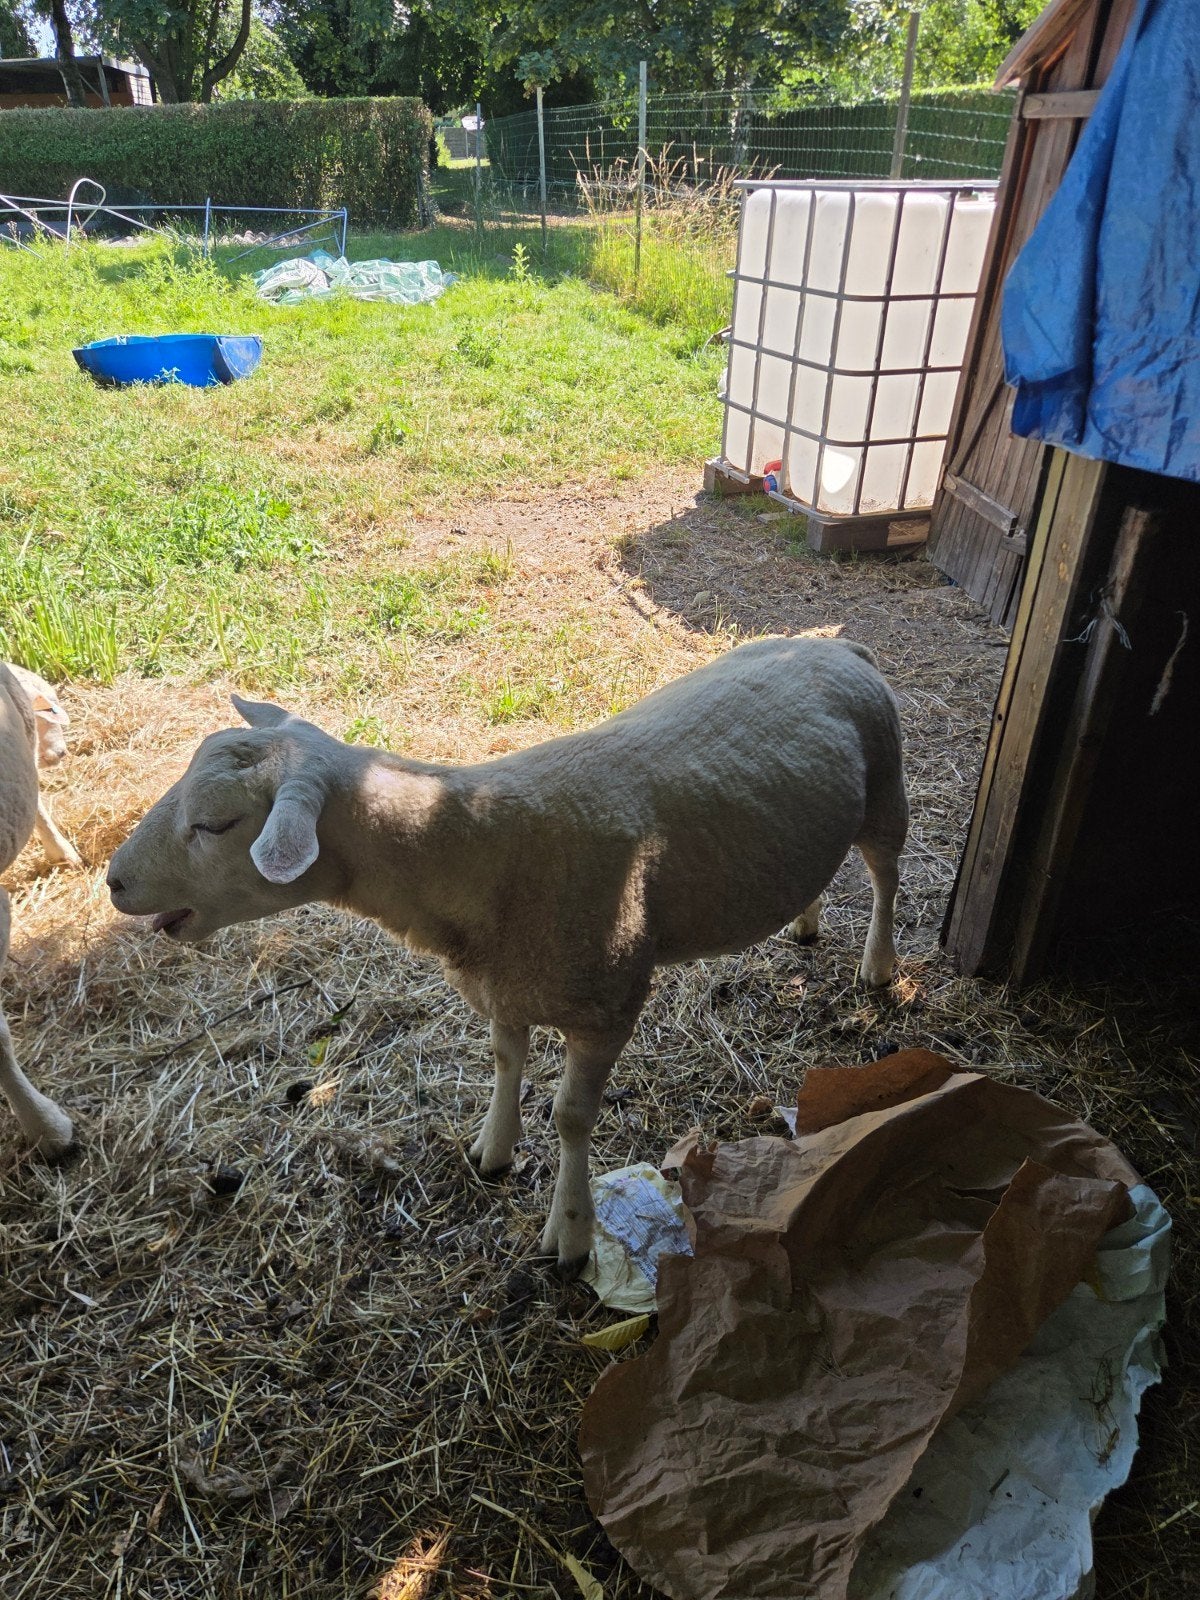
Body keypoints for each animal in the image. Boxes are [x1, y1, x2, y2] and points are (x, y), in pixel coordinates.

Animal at [106, 635, 907, 1271]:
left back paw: (879, 968)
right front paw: (492, 1150)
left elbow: (571, 1119)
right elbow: (504, 1062)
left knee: (884, 876)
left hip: (886, 790)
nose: (113, 882)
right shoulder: (503, 985)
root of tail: (836, 645)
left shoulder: (608, 1003)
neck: (478, 846)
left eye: (216, 824)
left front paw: (571, 1234)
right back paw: (803, 923)